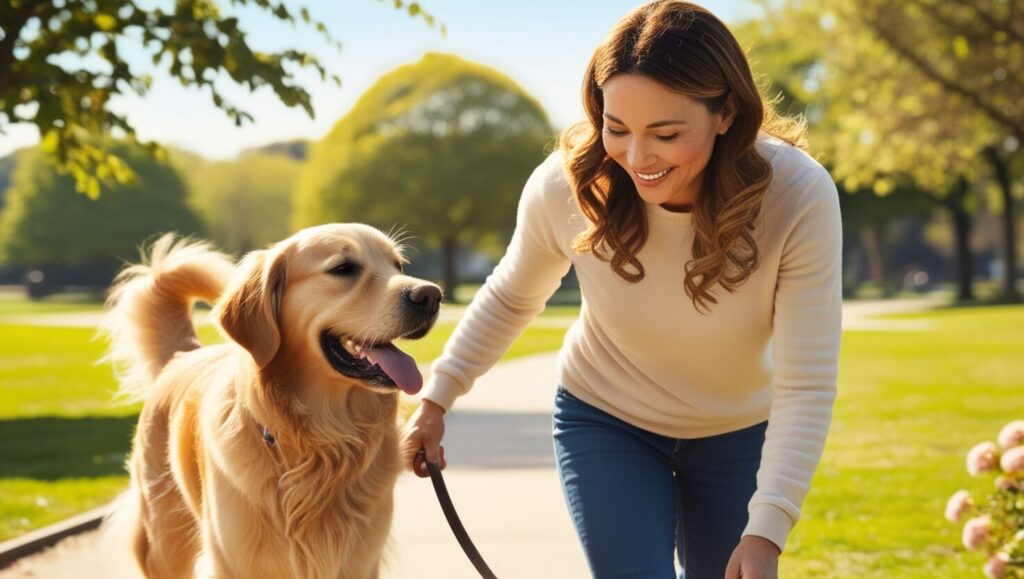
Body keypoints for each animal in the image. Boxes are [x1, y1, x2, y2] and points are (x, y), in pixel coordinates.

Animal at [99, 224, 440, 577]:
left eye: (399, 266)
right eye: (343, 268)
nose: (431, 296)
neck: (323, 443)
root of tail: (182, 354)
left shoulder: (360, 564)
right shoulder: (234, 563)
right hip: (164, 543)